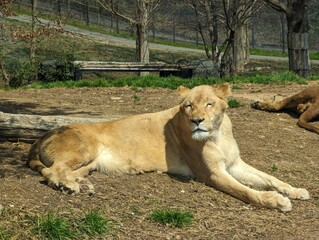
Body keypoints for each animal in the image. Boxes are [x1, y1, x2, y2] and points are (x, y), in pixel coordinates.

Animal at [28, 83, 310, 211]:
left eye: (209, 104)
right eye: (188, 106)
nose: (197, 120)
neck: (218, 134)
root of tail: (43, 135)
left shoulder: (235, 165)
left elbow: (270, 177)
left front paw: (295, 190)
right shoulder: (212, 174)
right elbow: (247, 191)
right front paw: (276, 201)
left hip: (90, 163)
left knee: (63, 172)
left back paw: (80, 185)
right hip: (85, 149)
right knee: (51, 171)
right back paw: (67, 186)